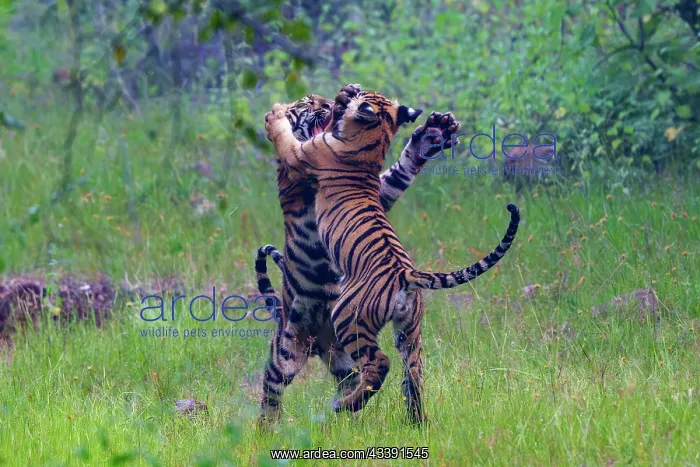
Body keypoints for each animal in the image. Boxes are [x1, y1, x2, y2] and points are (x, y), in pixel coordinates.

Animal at [264, 86, 520, 424]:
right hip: (407, 333)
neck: (371, 142)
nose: (330, 99)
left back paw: (341, 407)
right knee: (412, 374)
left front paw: (275, 115)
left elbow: (285, 138)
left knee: (375, 366)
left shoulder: (300, 157)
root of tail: (406, 275)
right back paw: (413, 420)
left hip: (345, 319)